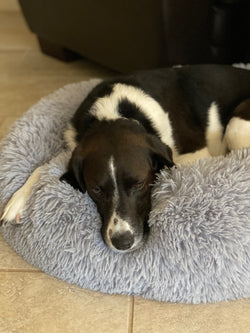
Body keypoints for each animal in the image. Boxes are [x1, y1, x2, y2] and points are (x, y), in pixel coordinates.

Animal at [1, 64, 250, 252]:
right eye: (96, 189)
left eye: (139, 184)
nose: (122, 242)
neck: (113, 114)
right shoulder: (74, 146)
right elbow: (43, 166)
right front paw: (18, 199)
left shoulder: (193, 155)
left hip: (236, 126)